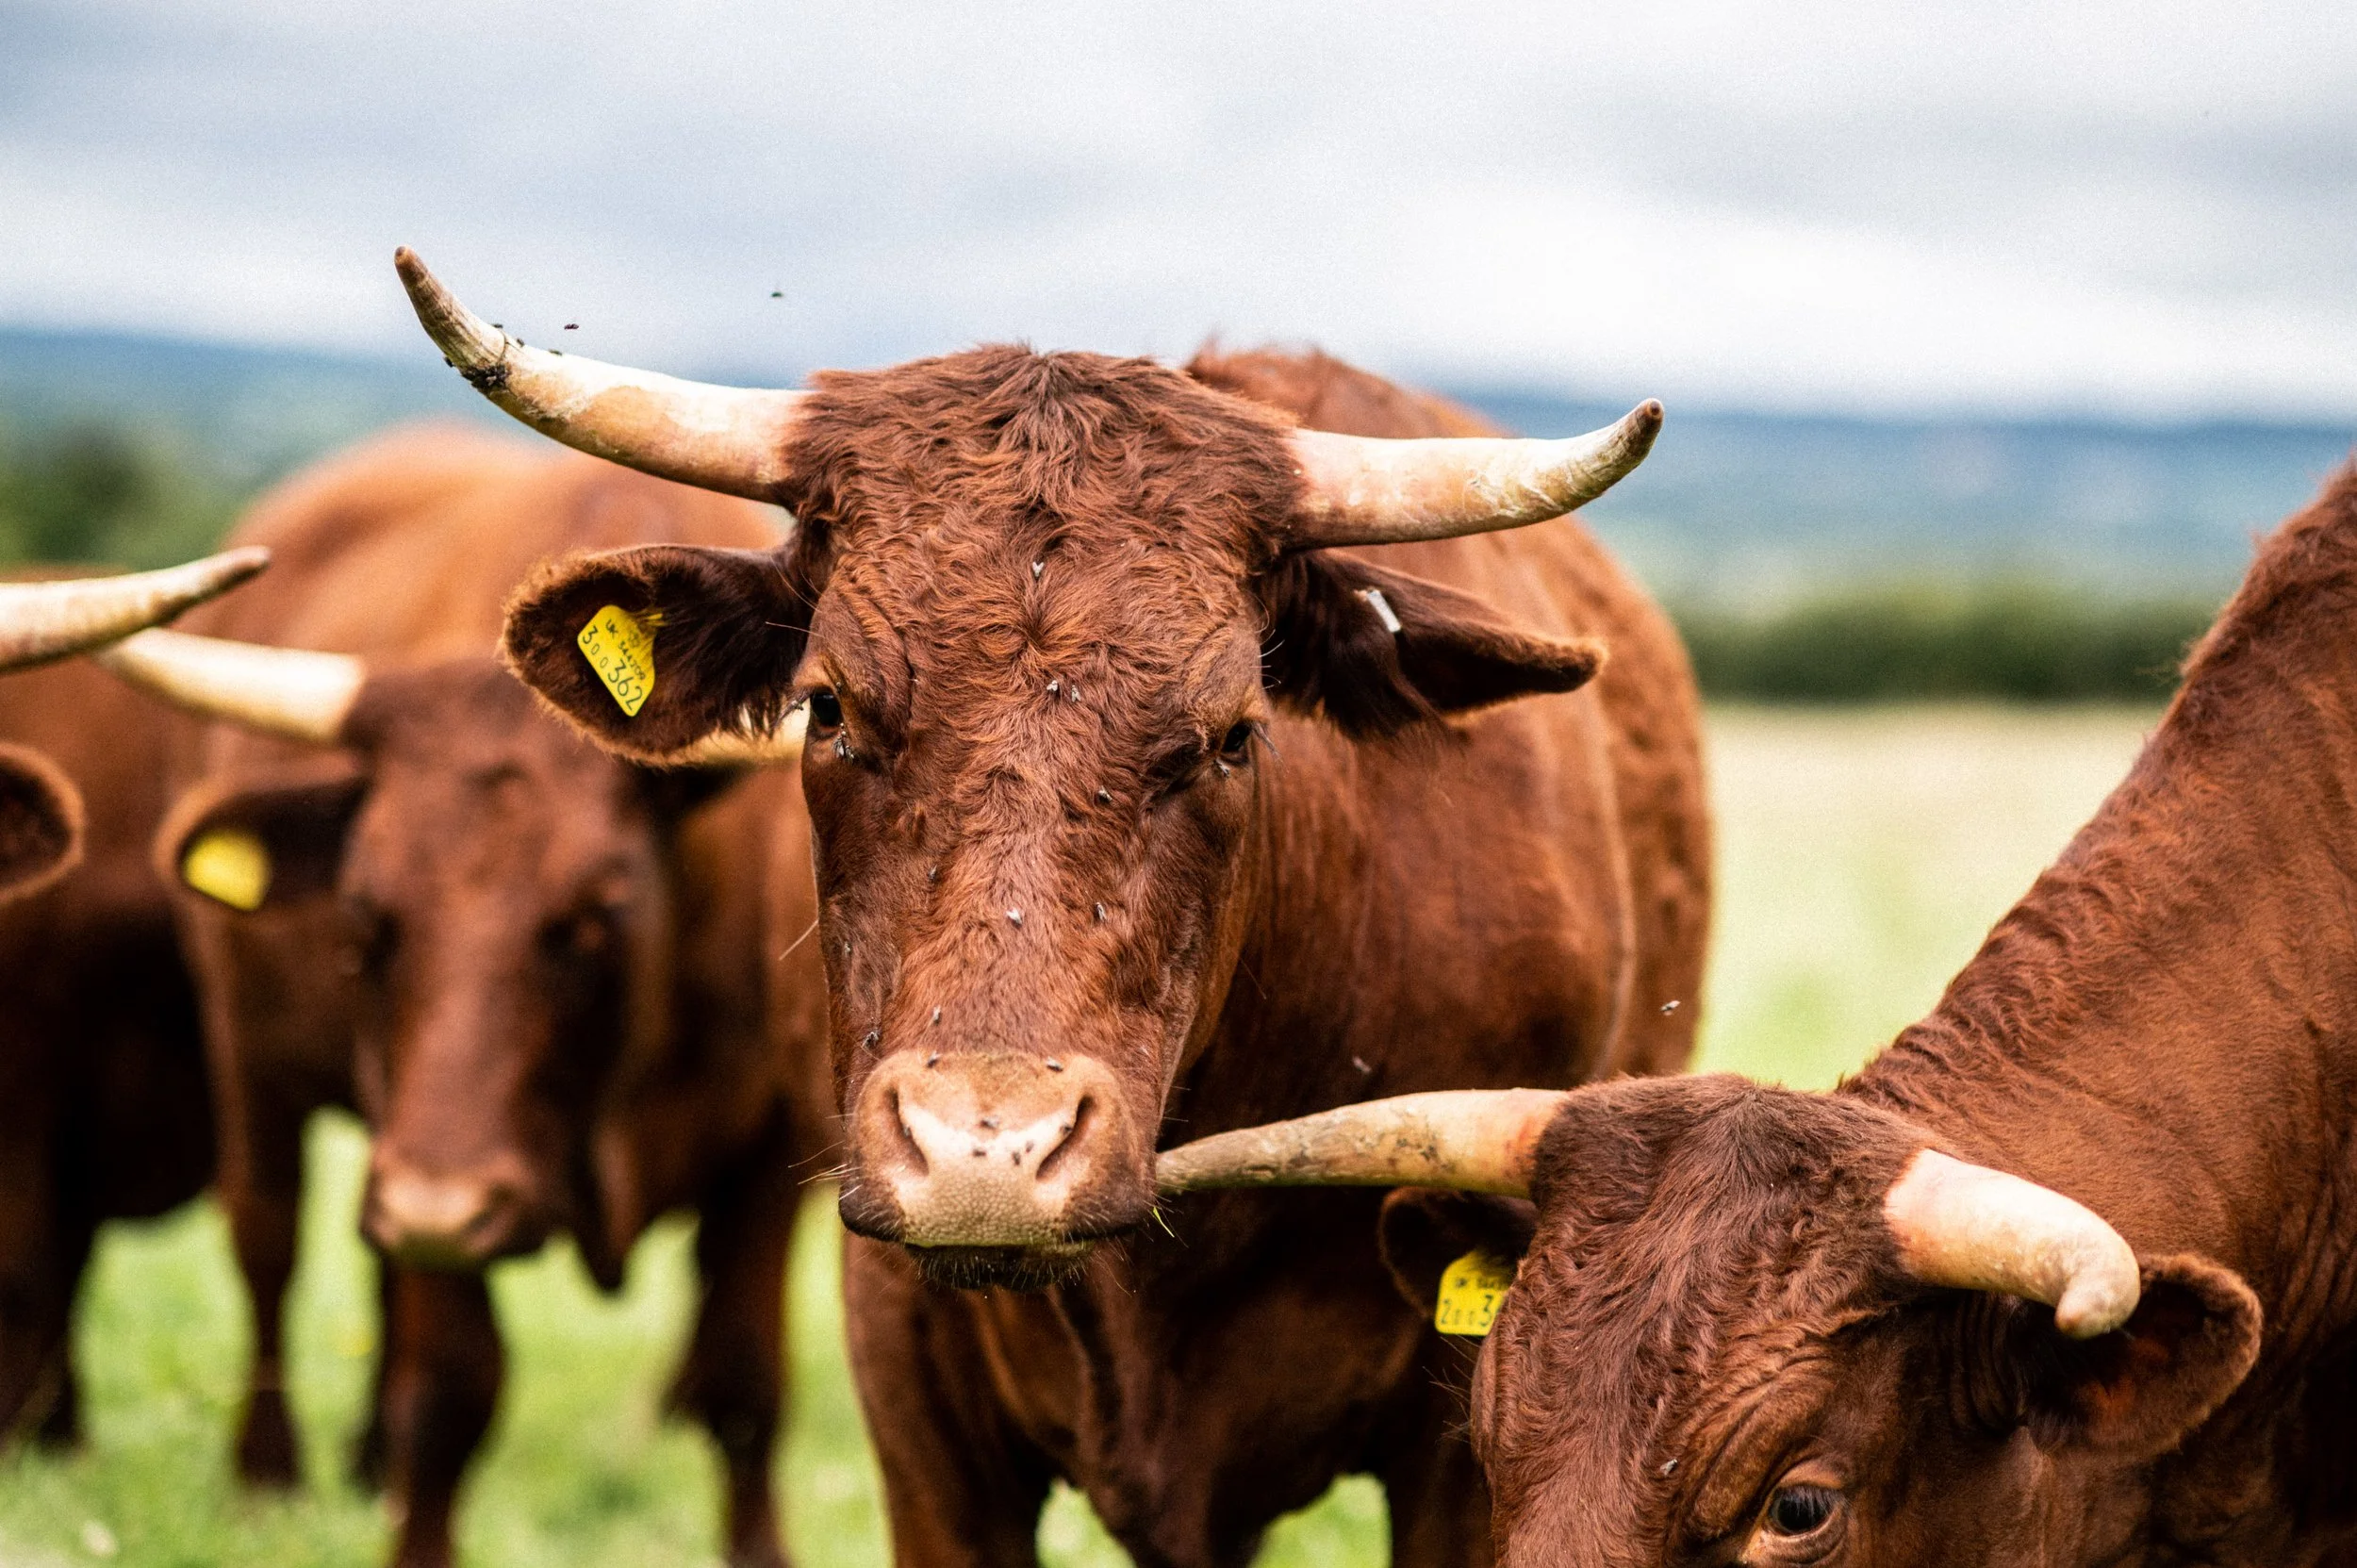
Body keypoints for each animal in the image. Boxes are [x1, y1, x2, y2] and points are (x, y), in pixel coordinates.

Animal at [92, 430, 828, 1568]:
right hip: (258, 1066)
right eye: (362, 913)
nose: (434, 1202)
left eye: (599, 909)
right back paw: (269, 1476)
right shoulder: (431, 1167)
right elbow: (446, 1391)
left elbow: (743, 1384)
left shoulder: (769, 1147)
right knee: (269, 1246)